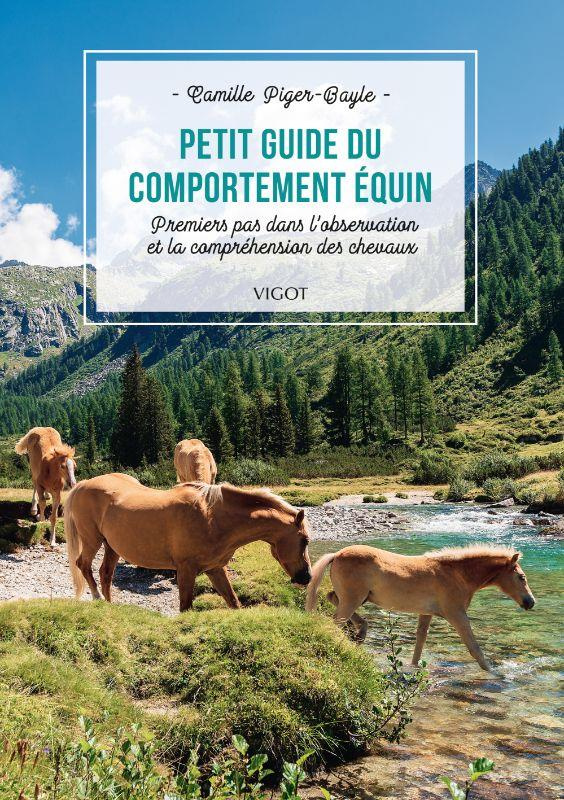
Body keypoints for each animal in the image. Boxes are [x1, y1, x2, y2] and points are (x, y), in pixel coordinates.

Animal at [64, 473, 311, 612]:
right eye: (305, 540)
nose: (306, 577)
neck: (212, 517)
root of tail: (83, 485)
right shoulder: (185, 570)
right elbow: (185, 608)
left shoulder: (215, 569)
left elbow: (233, 602)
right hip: (92, 540)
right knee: (83, 565)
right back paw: (96, 597)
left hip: (111, 546)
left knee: (105, 574)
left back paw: (108, 606)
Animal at [306, 544, 536, 671]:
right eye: (521, 577)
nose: (530, 602)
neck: (457, 574)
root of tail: (337, 554)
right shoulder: (456, 614)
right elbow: (474, 648)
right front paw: (493, 673)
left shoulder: (426, 613)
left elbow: (420, 642)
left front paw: (413, 667)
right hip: (353, 598)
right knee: (335, 621)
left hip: (355, 598)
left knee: (332, 599)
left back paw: (361, 631)